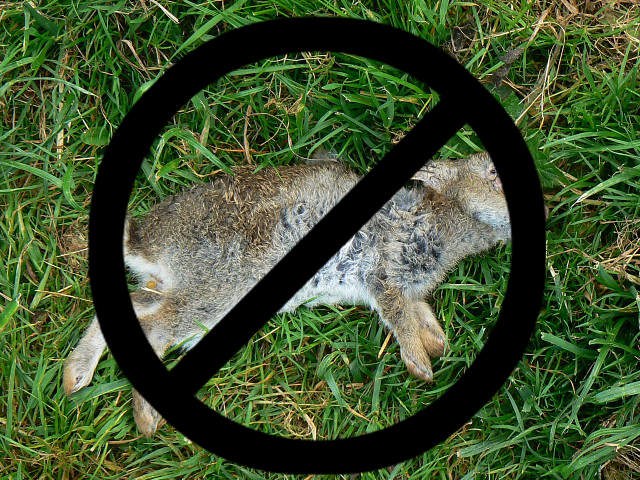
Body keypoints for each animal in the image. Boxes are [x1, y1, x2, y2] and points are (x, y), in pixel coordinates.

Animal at [63, 151, 512, 437]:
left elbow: (416, 315)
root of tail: (143, 243)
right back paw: (145, 419)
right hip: (216, 293)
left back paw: (75, 378)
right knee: (157, 328)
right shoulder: (383, 270)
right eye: (493, 173)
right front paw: (421, 366)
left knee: (140, 309)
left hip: (190, 295)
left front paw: (437, 344)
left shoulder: (406, 289)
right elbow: (398, 314)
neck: (450, 211)